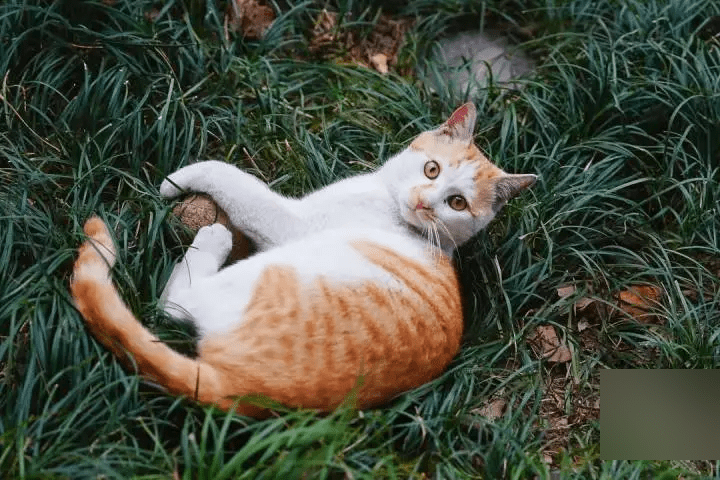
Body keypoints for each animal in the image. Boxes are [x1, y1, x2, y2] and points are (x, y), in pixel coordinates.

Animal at [71, 103, 536, 418]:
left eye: (456, 203)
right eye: (432, 169)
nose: (424, 203)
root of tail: (241, 391)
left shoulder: (291, 223)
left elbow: (233, 179)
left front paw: (177, 180)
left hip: (268, 270)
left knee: (174, 303)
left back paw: (212, 238)